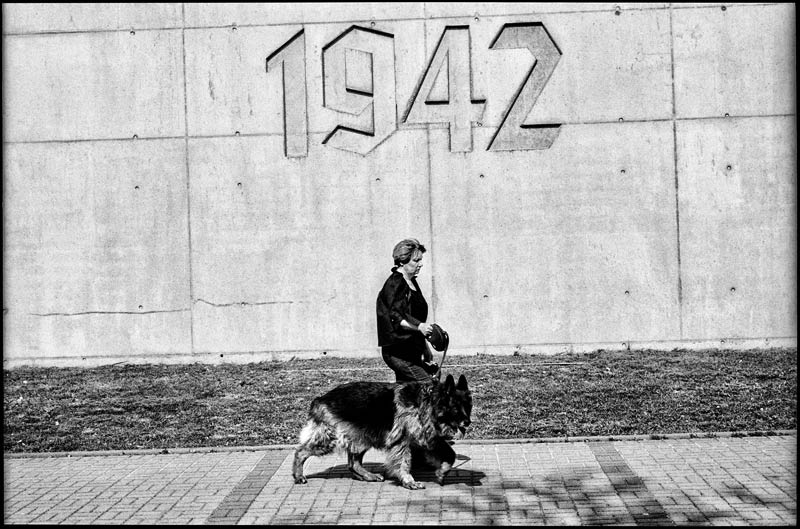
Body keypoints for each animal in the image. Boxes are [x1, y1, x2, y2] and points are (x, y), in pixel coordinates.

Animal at [292, 374, 468, 488]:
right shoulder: (402, 442)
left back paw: (368, 476)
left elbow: (451, 454)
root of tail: (320, 398)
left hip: (361, 438)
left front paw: (442, 472)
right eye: (455, 408)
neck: (428, 401)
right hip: (330, 439)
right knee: (300, 452)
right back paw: (298, 475)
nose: (468, 422)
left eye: (468, 406)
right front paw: (408, 481)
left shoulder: (428, 439)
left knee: (353, 463)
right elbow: (404, 463)